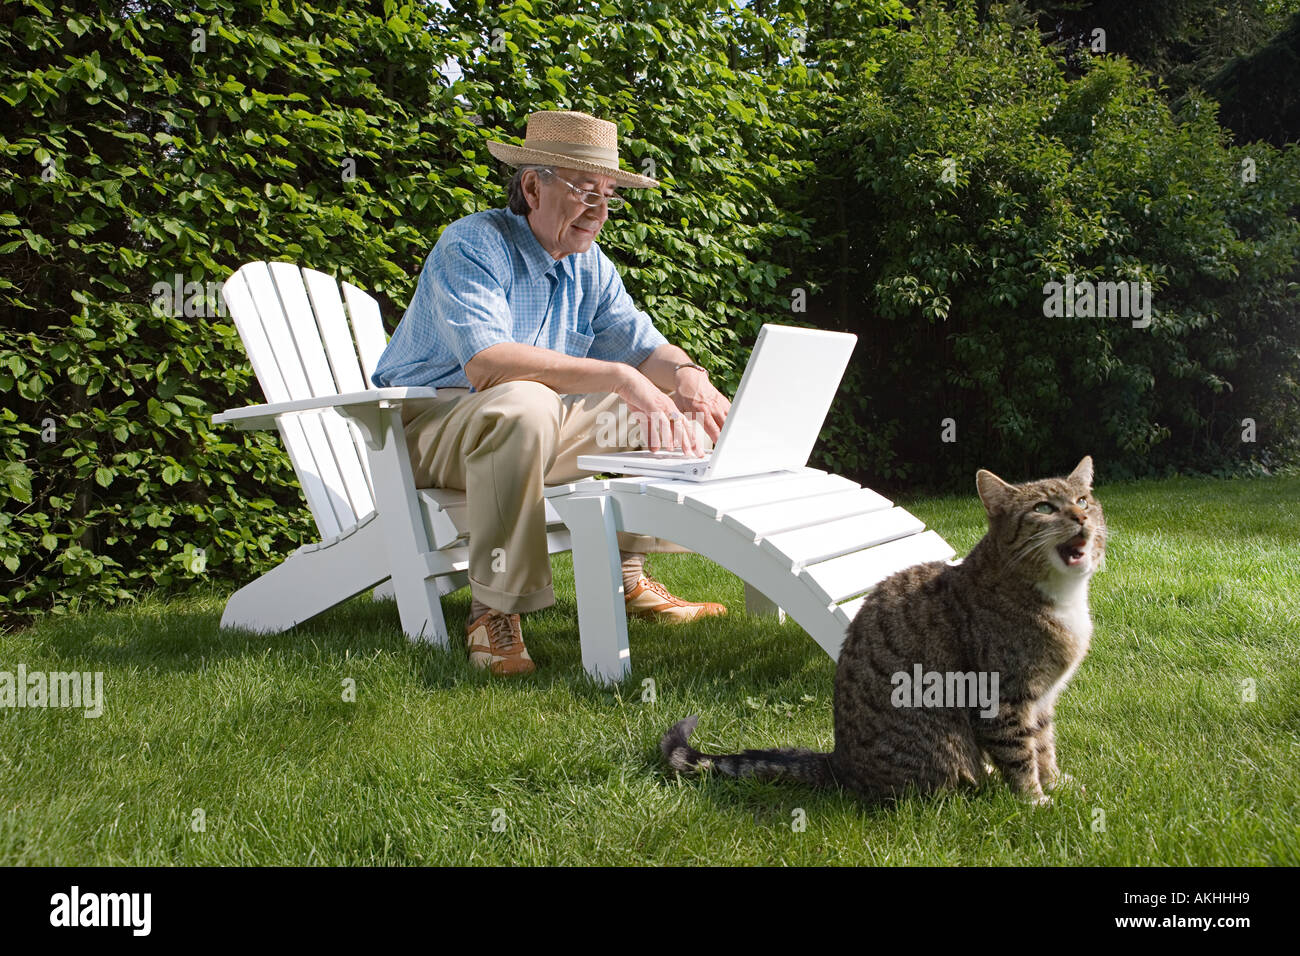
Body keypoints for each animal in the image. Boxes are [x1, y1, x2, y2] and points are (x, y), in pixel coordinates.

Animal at [660, 455, 1107, 806]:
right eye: (1044, 507)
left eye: (1083, 500)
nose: (1081, 516)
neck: (1061, 599)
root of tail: (839, 762)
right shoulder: (1002, 697)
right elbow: (1020, 754)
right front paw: (1035, 801)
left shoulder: (1042, 699)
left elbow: (1044, 746)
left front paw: (1057, 783)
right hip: (943, 749)